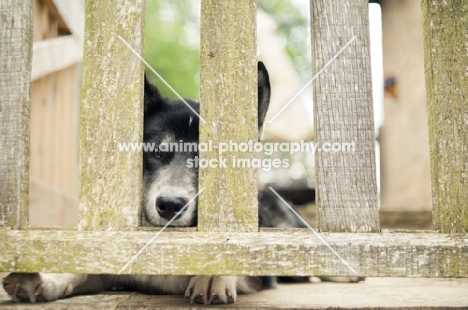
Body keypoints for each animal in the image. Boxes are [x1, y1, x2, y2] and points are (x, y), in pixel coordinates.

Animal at [2, 62, 308, 306]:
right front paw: (46, 277)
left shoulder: (262, 272)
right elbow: (87, 267)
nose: (170, 205)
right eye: (156, 152)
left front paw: (213, 274)